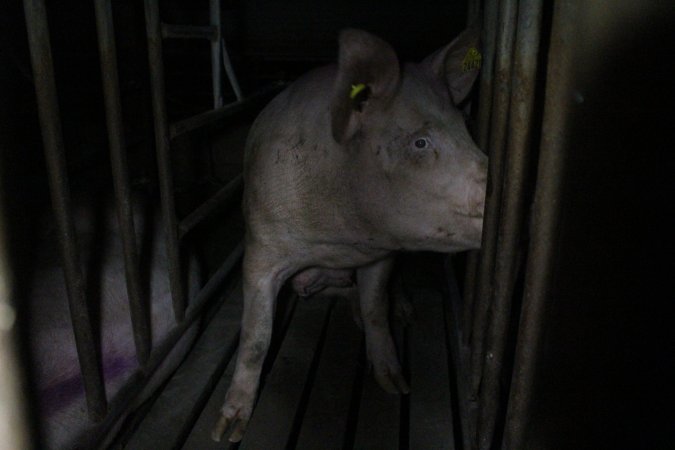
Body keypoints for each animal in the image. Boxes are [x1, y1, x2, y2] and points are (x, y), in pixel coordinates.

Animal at [211, 25, 486, 442]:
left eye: (467, 128)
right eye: (420, 142)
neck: (341, 237)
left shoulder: (381, 256)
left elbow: (375, 309)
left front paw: (396, 385)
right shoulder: (262, 246)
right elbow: (256, 338)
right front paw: (226, 431)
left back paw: (403, 312)